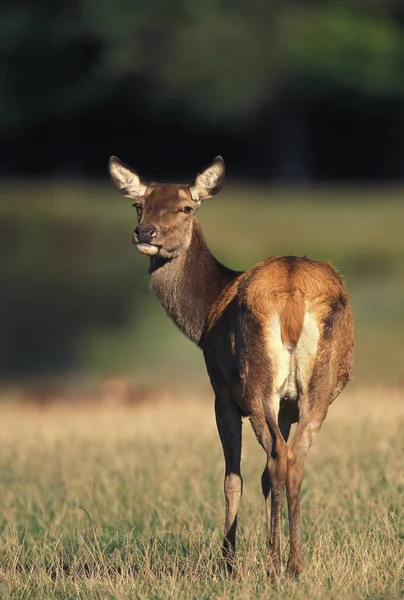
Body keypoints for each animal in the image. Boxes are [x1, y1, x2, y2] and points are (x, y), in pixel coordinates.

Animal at [107, 155, 354, 576]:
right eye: (139, 205)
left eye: (186, 208)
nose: (145, 231)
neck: (205, 312)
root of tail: (292, 296)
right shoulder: (286, 406)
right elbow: (268, 475)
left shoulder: (221, 392)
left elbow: (232, 477)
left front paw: (227, 562)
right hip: (316, 389)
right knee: (293, 458)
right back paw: (294, 563)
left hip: (255, 381)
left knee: (276, 457)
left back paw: (274, 563)